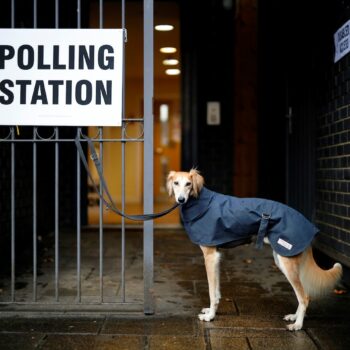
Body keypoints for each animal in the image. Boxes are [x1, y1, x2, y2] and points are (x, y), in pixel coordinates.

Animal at [167, 169, 342, 330]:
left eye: (188, 184)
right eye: (176, 183)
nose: (181, 199)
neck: (201, 202)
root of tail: (306, 224)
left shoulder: (210, 256)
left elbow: (211, 291)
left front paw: (210, 317)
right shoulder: (216, 256)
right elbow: (216, 292)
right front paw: (211, 311)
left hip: (287, 263)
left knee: (304, 296)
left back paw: (298, 325)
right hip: (283, 259)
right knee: (303, 294)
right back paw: (294, 317)